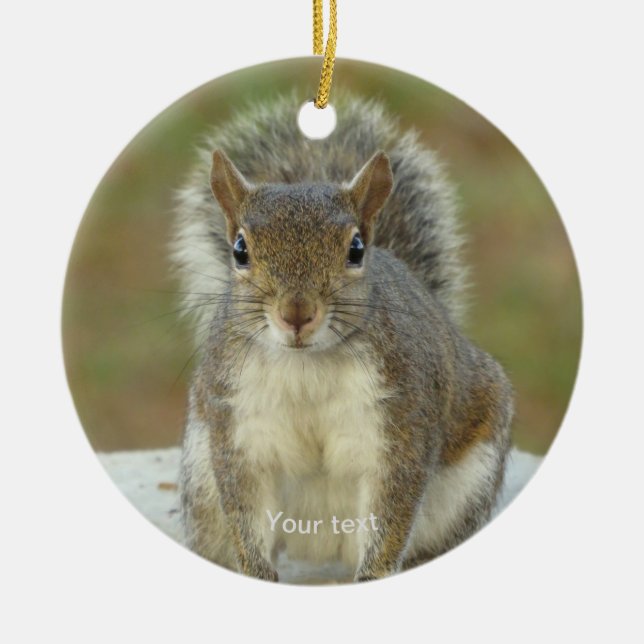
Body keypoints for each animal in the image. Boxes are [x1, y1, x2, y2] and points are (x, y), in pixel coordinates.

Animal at [173, 93, 514, 582]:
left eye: (356, 249)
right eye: (239, 250)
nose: (297, 314)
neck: (306, 363)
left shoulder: (401, 422)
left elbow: (392, 513)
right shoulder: (236, 427)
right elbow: (246, 512)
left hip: (466, 488)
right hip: (201, 493)